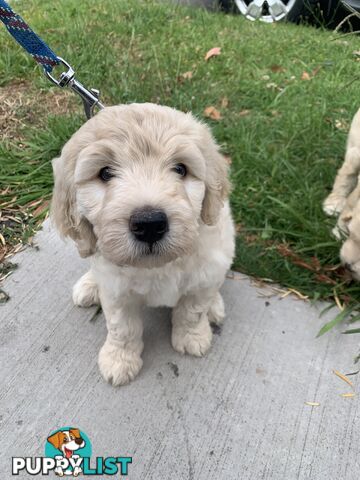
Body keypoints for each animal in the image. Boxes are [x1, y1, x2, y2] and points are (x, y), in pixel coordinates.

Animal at [51, 104, 236, 386]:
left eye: (180, 169)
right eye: (105, 173)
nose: (149, 224)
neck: (158, 266)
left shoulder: (206, 270)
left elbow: (192, 310)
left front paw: (192, 338)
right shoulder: (116, 290)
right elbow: (122, 328)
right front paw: (119, 360)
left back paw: (215, 306)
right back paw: (89, 285)